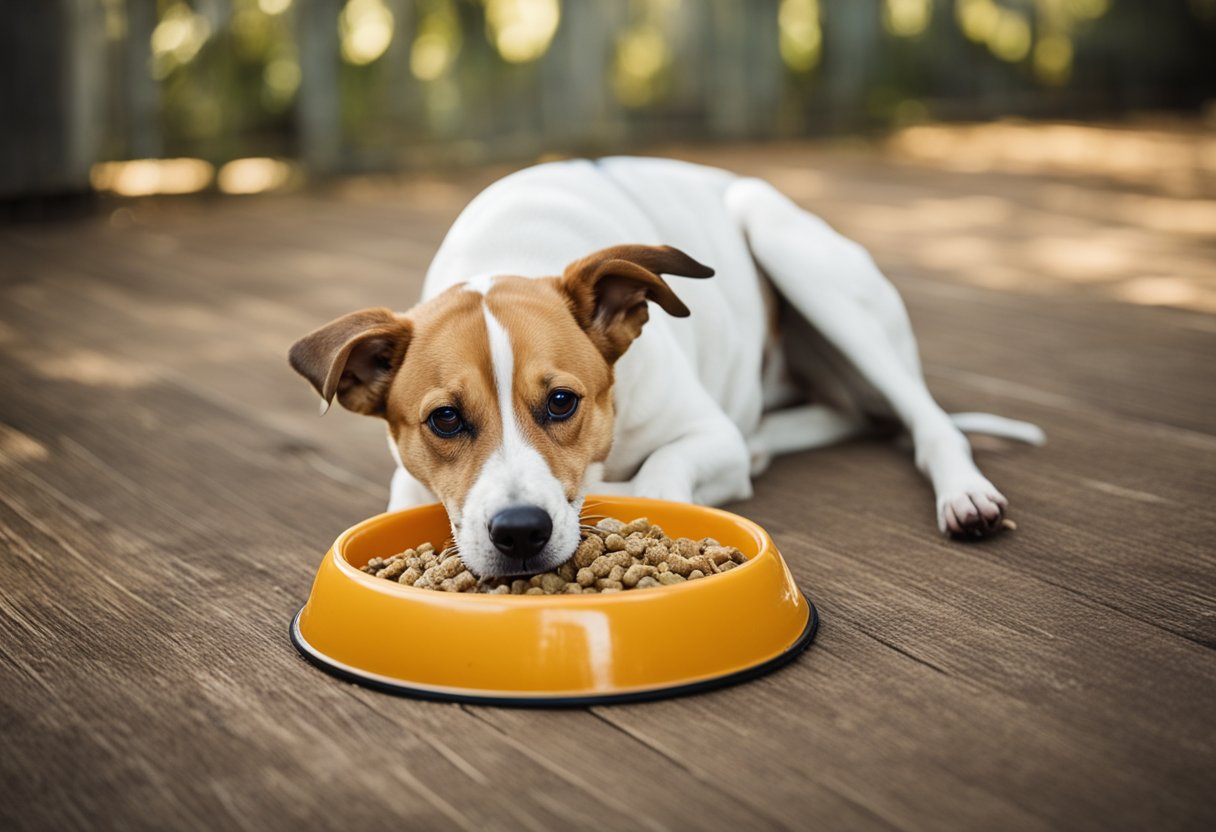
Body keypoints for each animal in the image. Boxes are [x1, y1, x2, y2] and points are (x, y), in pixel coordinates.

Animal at [289, 155, 1040, 578]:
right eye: (444, 419)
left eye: (561, 402)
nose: (522, 531)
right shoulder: (407, 480)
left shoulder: (711, 436)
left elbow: (661, 473)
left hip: (795, 253)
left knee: (930, 421)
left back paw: (964, 493)